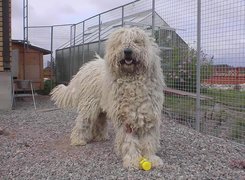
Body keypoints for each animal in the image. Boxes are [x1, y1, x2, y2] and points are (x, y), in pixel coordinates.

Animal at [50, 27, 165, 169]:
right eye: (120, 42)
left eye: (136, 41)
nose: (127, 51)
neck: (132, 80)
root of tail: (85, 68)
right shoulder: (125, 119)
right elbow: (129, 141)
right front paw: (132, 160)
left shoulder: (149, 114)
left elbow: (149, 140)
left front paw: (151, 159)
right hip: (89, 106)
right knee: (82, 123)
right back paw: (78, 140)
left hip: (100, 108)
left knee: (99, 121)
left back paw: (100, 137)